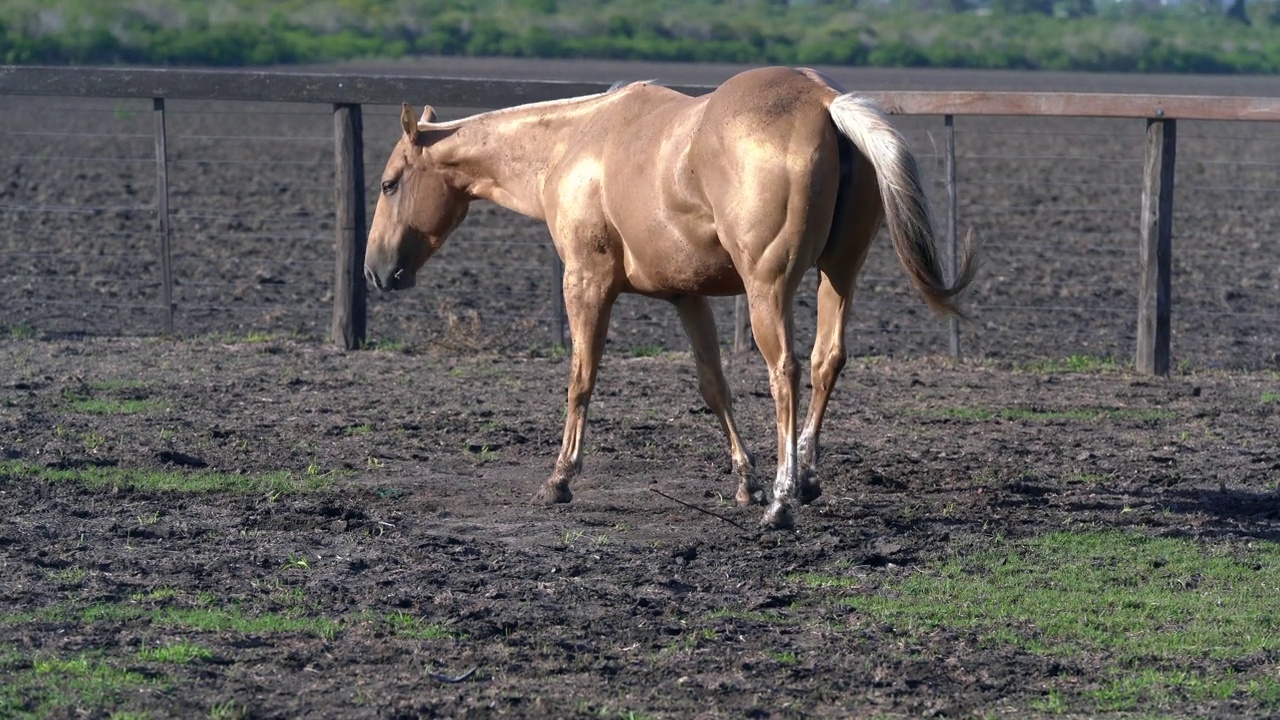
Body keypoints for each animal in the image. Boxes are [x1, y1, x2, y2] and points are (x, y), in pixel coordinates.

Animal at [366, 65, 972, 527]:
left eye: (390, 184)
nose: (375, 271)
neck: (574, 142)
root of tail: (822, 102)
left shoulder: (586, 281)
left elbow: (581, 380)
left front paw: (560, 478)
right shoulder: (688, 298)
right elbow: (714, 388)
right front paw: (744, 480)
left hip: (768, 288)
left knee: (786, 371)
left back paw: (782, 500)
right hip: (838, 273)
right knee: (828, 360)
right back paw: (806, 477)